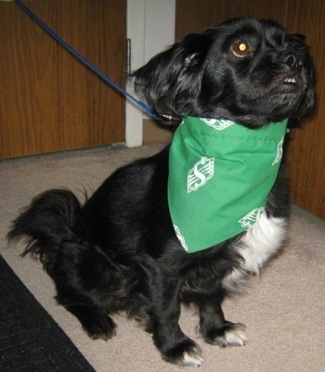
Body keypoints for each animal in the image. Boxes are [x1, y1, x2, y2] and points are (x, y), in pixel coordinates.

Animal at [8, 18, 312, 366]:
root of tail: (64, 237)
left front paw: (216, 330)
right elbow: (167, 309)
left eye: (292, 44)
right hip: (91, 264)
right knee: (67, 295)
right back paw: (97, 320)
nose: (294, 59)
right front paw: (175, 347)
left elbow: (211, 297)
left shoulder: (215, 263)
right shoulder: (161, 265)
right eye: (241, 47)